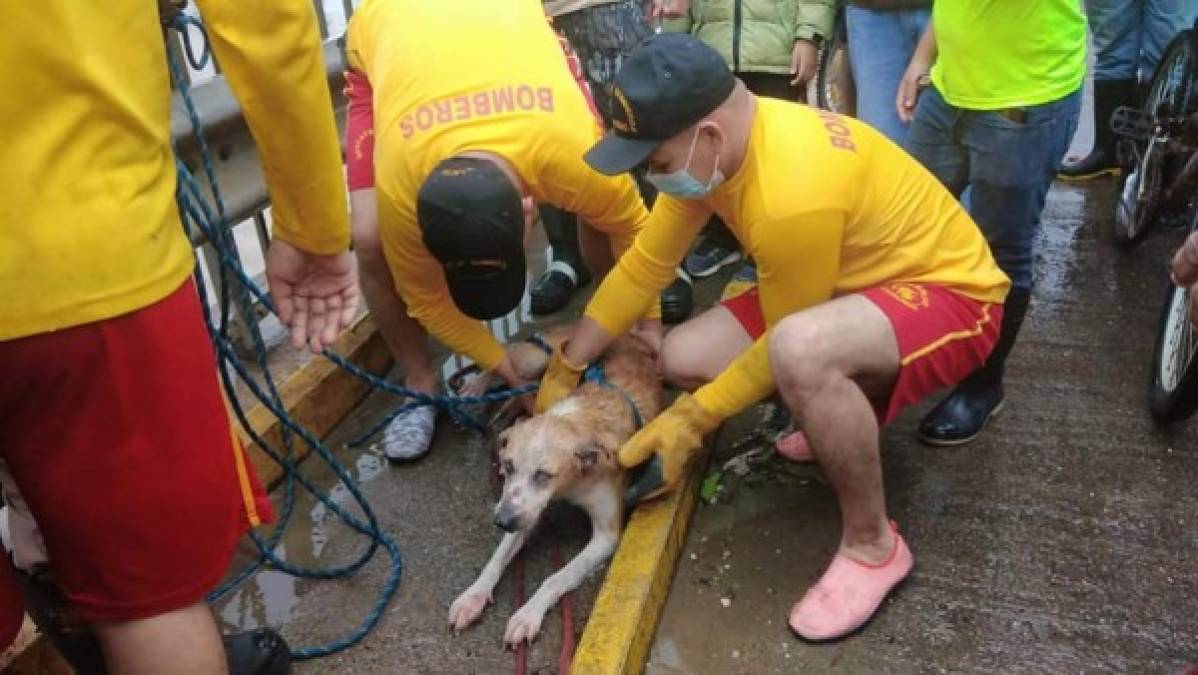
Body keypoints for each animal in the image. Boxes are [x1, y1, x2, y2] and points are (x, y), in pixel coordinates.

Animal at [448, 330, 661, 647]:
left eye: (544, 475)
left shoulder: (606, 535)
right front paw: (472, 596)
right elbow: (496, 559)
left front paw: (527, 615)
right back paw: (480, 391)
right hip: (535, 358)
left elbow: (556, 577)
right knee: (504, 361)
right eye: (509, 465)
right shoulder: (522, 511)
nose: (502, 522)